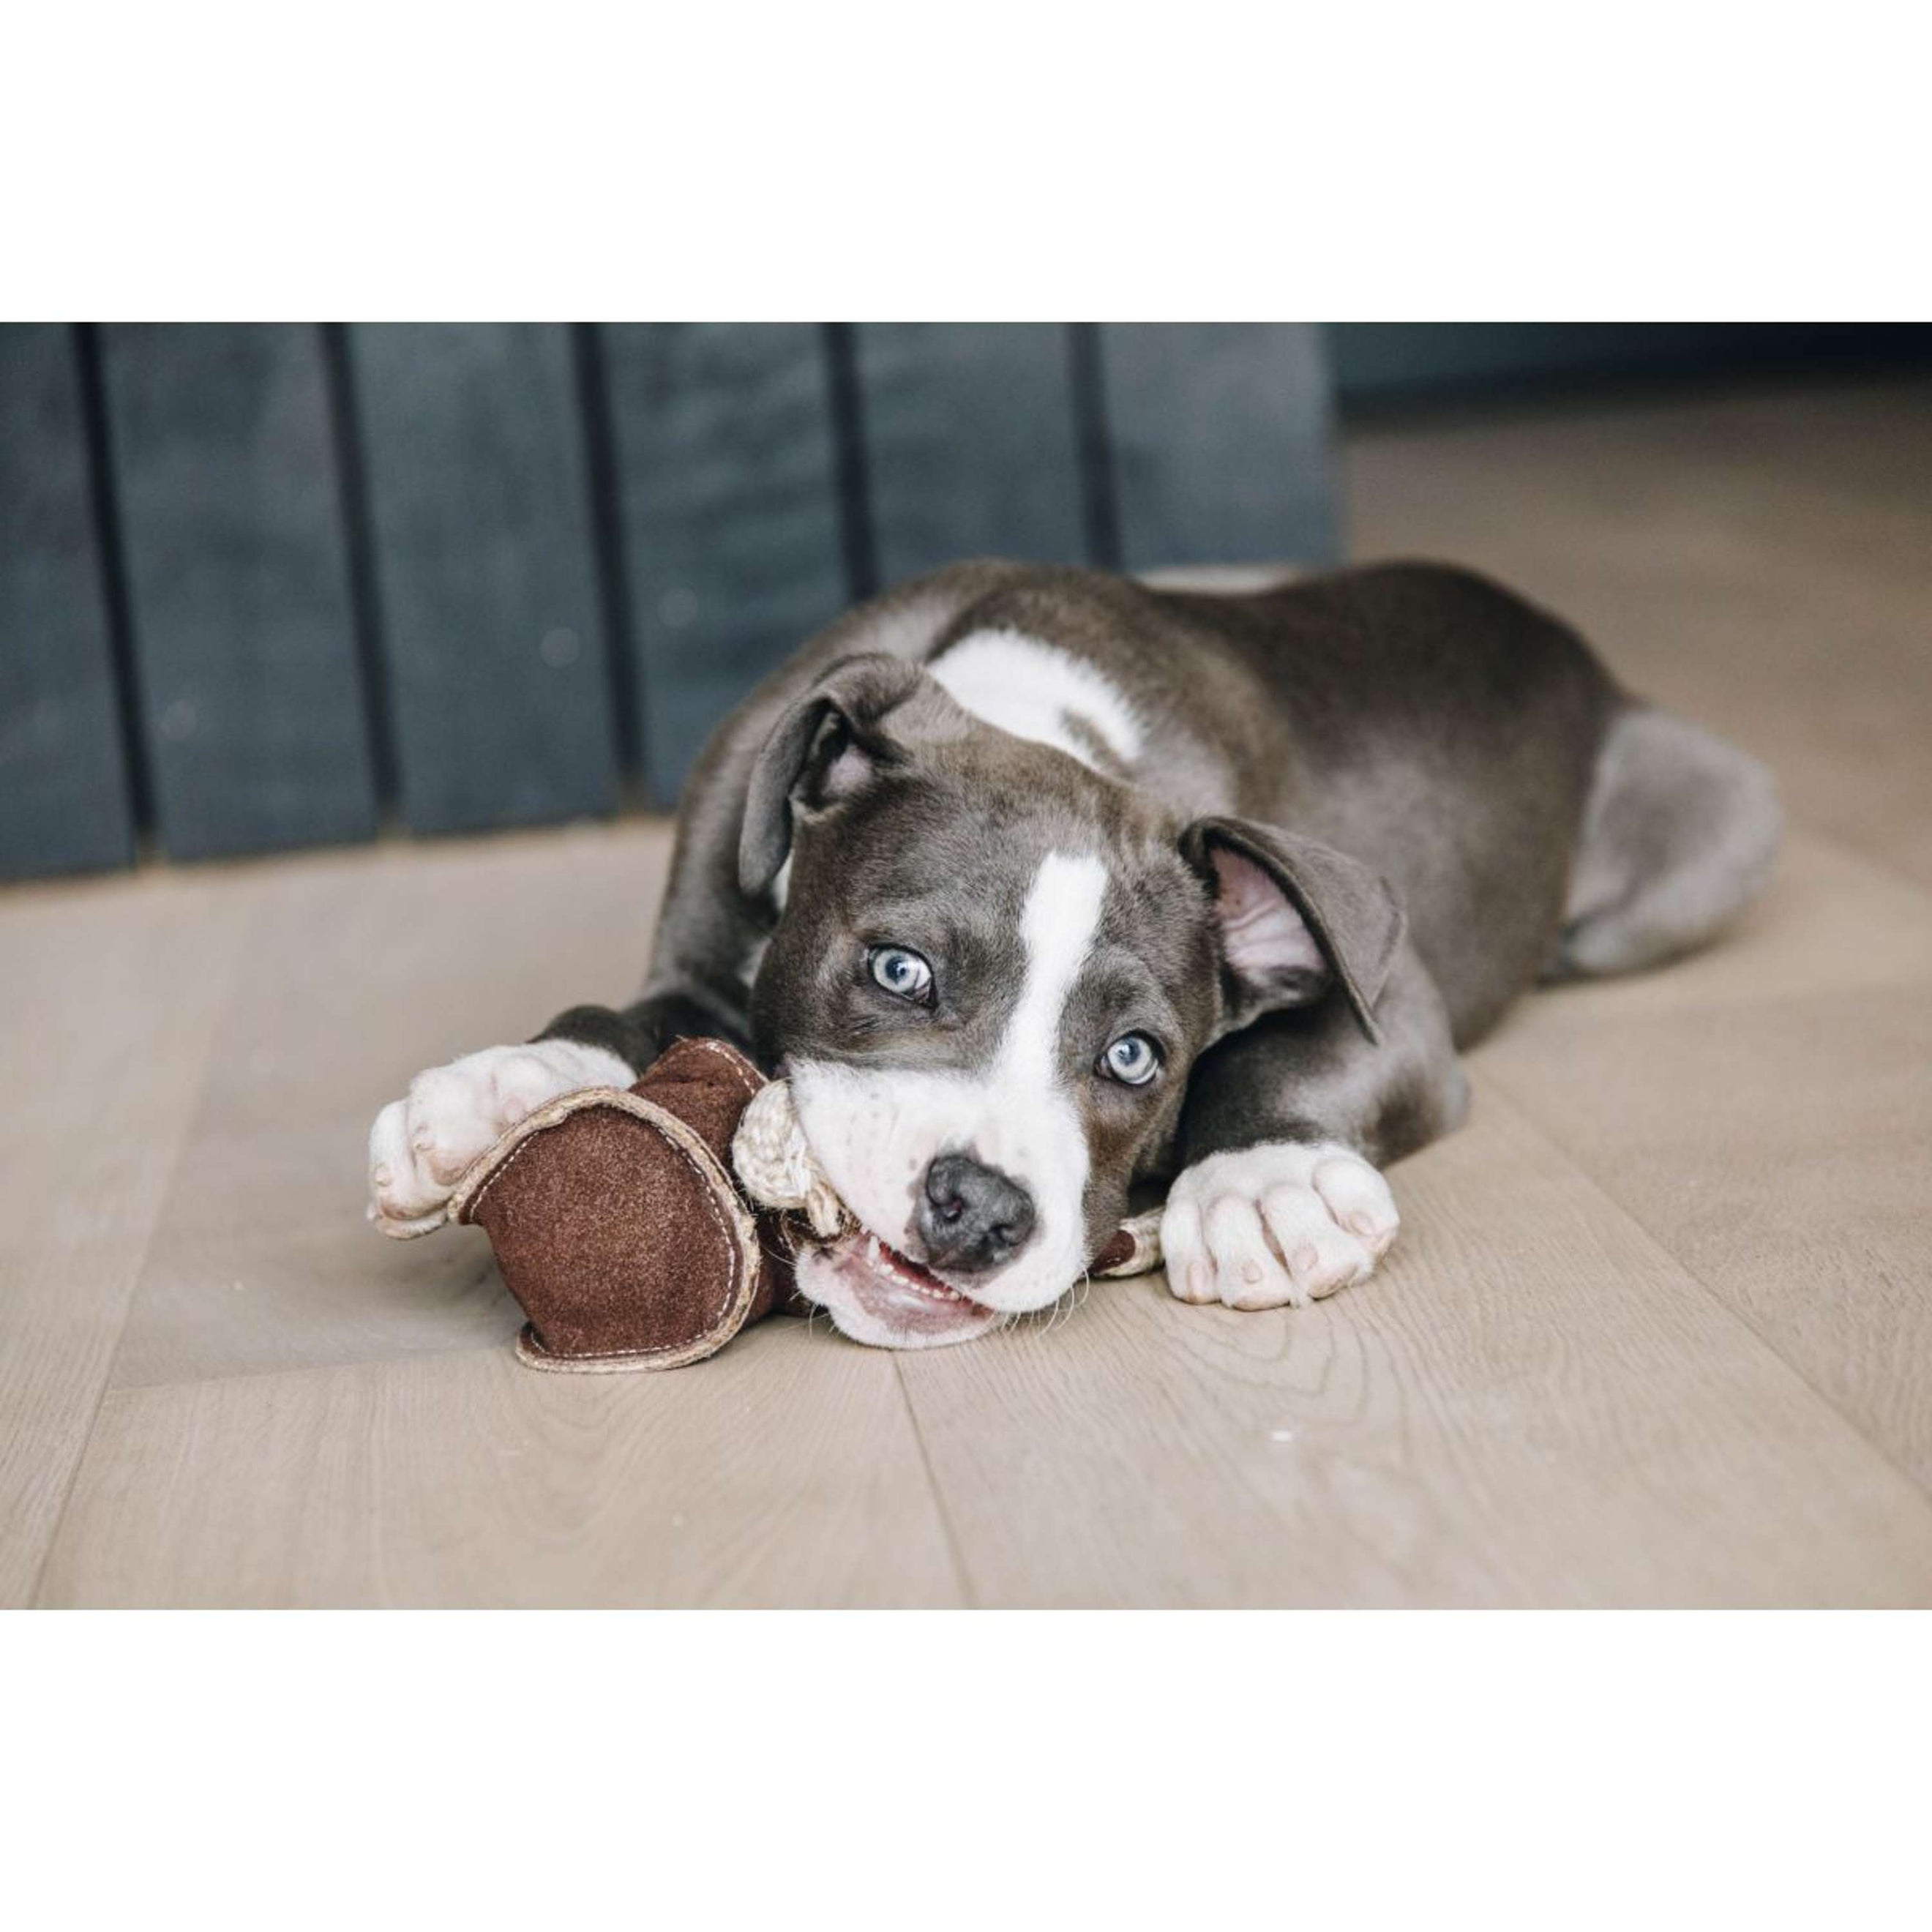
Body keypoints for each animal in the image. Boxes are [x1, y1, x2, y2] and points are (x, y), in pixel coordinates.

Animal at [363, 560, 1777, 1344]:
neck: (1032, 715)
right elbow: (627, 1012)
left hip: (1715, 833)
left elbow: (1282, 1059)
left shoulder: (1403, 1010)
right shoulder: (703, 957)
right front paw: (495, 1091)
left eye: (1139, 1056)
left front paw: (1265, 1186)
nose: (982, 1212)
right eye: (898, 971)